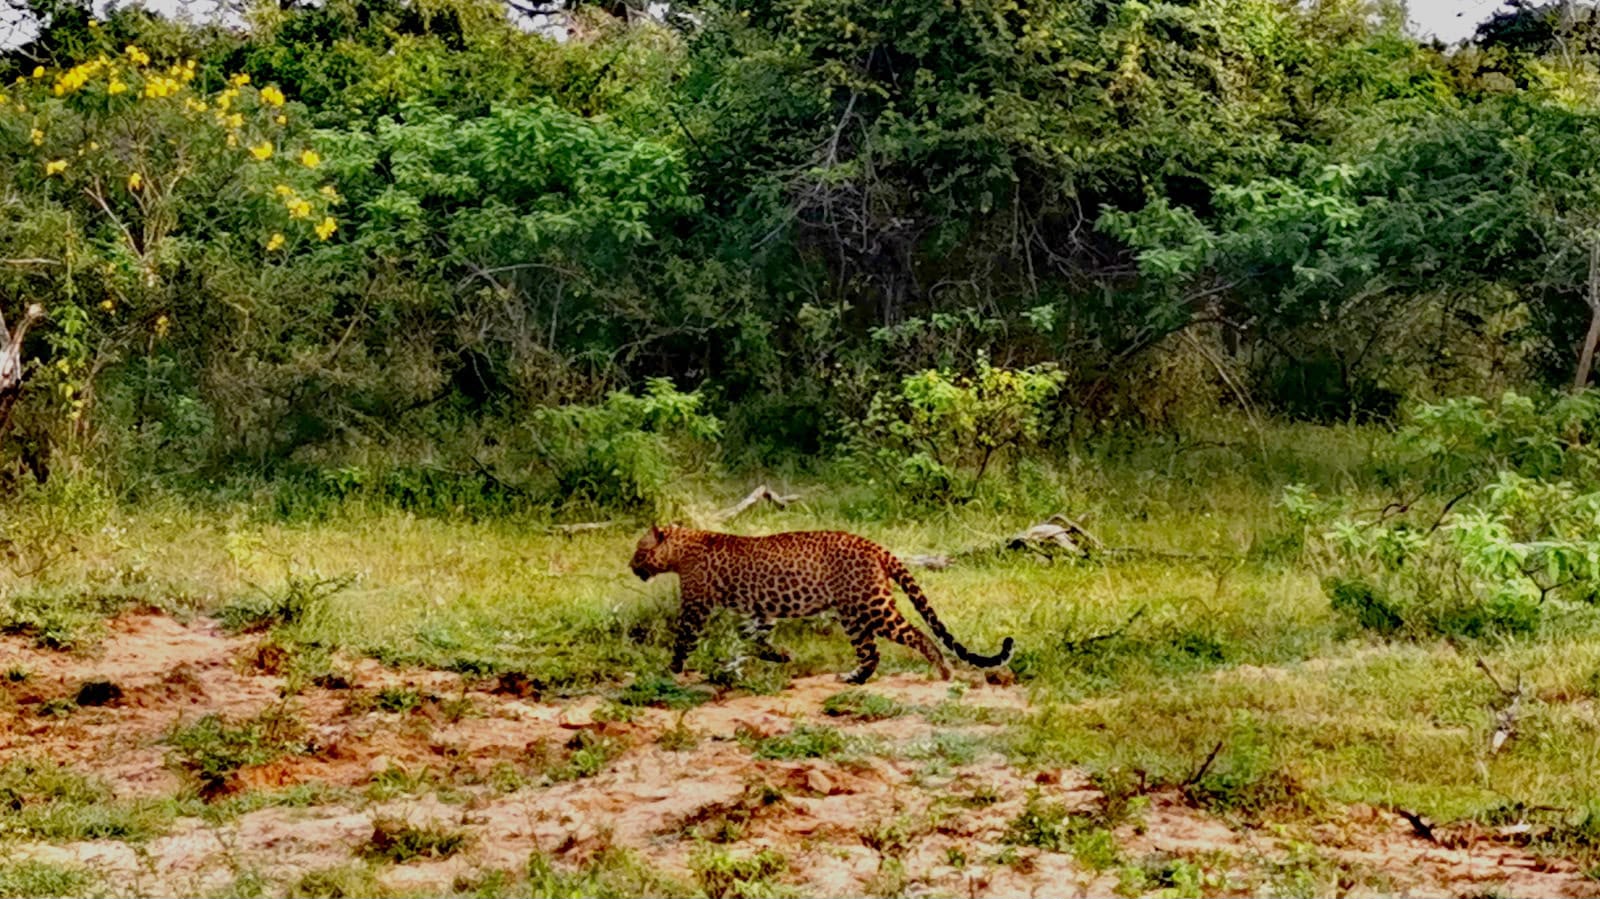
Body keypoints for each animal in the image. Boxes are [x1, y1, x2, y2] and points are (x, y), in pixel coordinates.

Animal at [630, 525, 1014, 684]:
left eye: (639, 549)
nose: (631, 566)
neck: (682, 547)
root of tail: (874, 545)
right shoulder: (760, 610)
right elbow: (754, 636)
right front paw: (781, 656)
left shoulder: (695, 606)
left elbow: (683, 638)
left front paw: (671, 669)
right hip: (853, 614)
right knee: (871, 652)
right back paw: (853, 678)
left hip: (870, 606)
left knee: (916, 634)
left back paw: (942, 669)